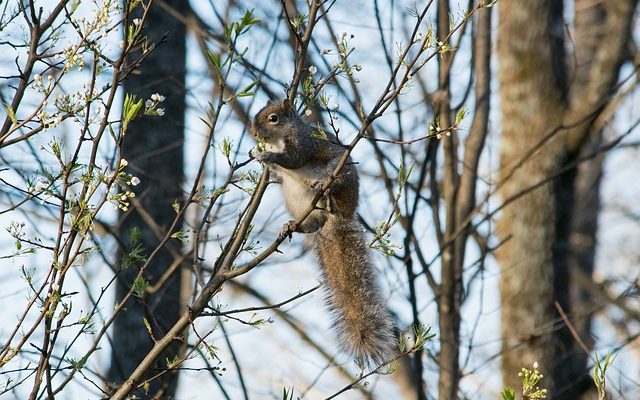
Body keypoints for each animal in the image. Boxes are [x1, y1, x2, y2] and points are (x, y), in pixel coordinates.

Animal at [249, 99, 396, 366]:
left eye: (274, 118)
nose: (254, 134)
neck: (280, 137)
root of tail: (336, 218)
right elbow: (278, 170)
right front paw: (256, 153)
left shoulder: (303, 143)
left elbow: (293, 159)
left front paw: (266, 154)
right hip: (295, 201)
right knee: (309, 225)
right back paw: (292, 225)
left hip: (340, 175)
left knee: (333, 185)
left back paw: (326, 193)